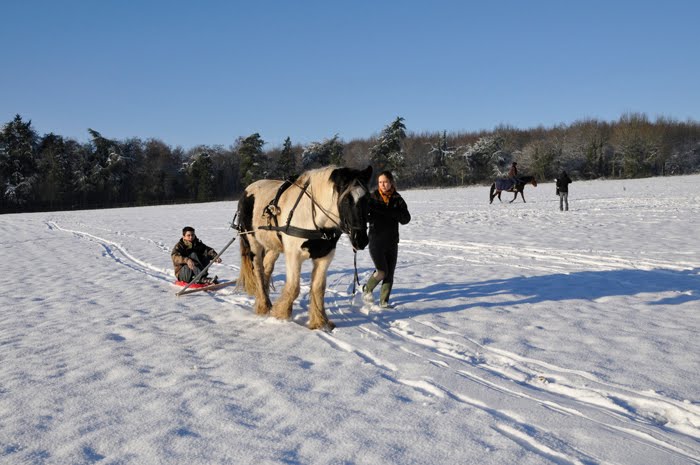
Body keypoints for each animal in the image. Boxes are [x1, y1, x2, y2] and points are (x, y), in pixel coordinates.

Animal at [235, 165, 372, 328]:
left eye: (368, 199)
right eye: (346, 200)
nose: (361, 240)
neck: (315, 220)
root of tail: (248, 189)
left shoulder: (325, 256)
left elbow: (318, 288)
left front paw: (320, 321)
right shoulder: (293, 255)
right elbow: (294, 287)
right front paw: (280, 314)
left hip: (273, 246)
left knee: (266, 268)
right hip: (253, 242)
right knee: (258, 271)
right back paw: (263, 305)